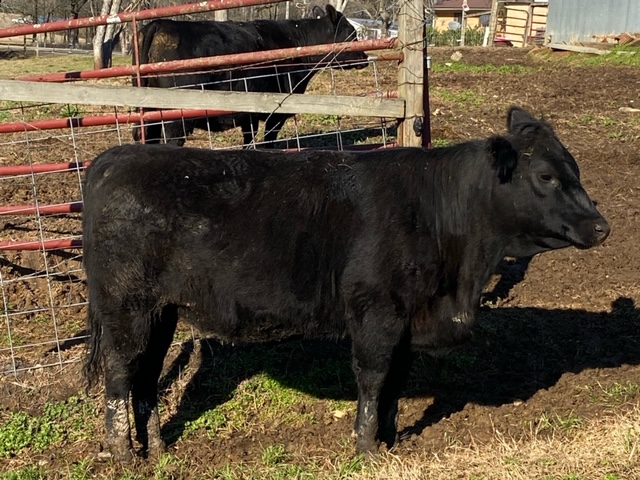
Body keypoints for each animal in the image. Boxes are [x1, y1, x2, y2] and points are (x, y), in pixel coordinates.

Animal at [84, 107, 608, 460]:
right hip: (126, 308)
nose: (601, 226)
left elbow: (396, 381)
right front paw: (366, 448)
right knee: (119, 375)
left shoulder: (406, 321)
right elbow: (373, 378)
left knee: (146, 375)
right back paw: (124, 454)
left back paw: (157, 449)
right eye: (546, 176)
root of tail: (116, 156)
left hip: (160, 311)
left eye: (577, 170)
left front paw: (390, 441)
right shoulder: (376, 312)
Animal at [131, 4, 364, 147]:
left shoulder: (248, 114)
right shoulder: (276, 113)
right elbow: (268, 141)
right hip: (176, 117)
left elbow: (249, 140)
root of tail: (159, 23)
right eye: (351, 33)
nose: (364, 56)